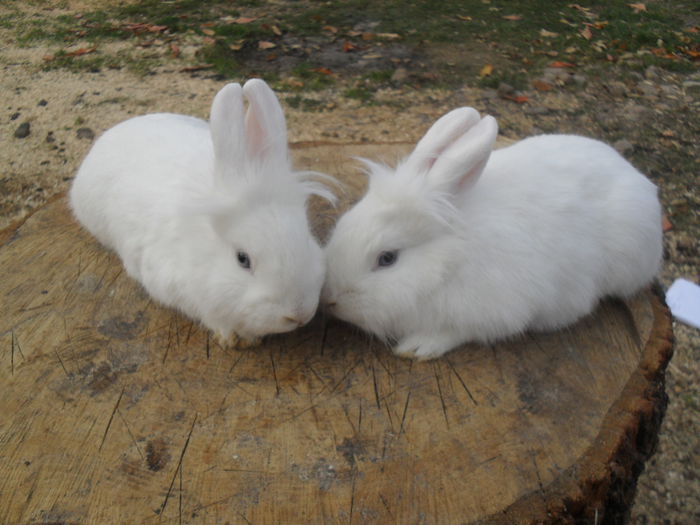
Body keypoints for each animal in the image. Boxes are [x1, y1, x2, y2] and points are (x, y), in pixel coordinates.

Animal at [322, 106, 660, 360]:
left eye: (387, 258)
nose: (331, 300)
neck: (450, 259)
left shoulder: (497, 310)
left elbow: (458, 331)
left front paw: (418, 347)